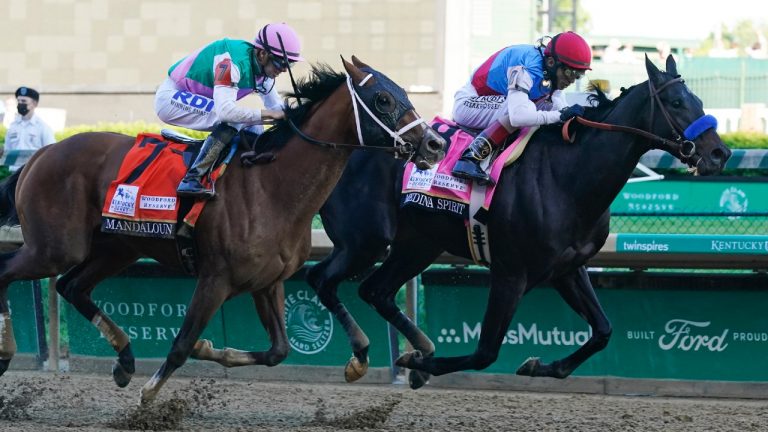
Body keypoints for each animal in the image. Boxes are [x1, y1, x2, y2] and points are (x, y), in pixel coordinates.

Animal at [0, 56, 448, 402]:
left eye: (404, 92)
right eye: (383, 98)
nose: (434, 145)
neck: (273, 187)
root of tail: (40, 153)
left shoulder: (268, 282)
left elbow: (278, 350)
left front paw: (209, 348)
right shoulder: (215, 278)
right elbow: (181, 344)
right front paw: (150, 393)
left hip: (116, 248)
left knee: (71, 286)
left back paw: (124, 360)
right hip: (54, 248)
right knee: (15, 273)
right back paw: (9, 352)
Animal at [306, 55, 732, 386]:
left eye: (698, 99)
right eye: (676, 102)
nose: (720, 153)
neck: (567, 176)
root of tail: (342, 148)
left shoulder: (567, 268)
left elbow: (603, 331)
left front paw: (539, 364)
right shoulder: (510, 274)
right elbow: (485, 352)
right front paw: (417, 362)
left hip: (417, 244)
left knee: (375, 291)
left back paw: (414, 348)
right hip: (363, 241)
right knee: (320, 278)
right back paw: (364, 355)